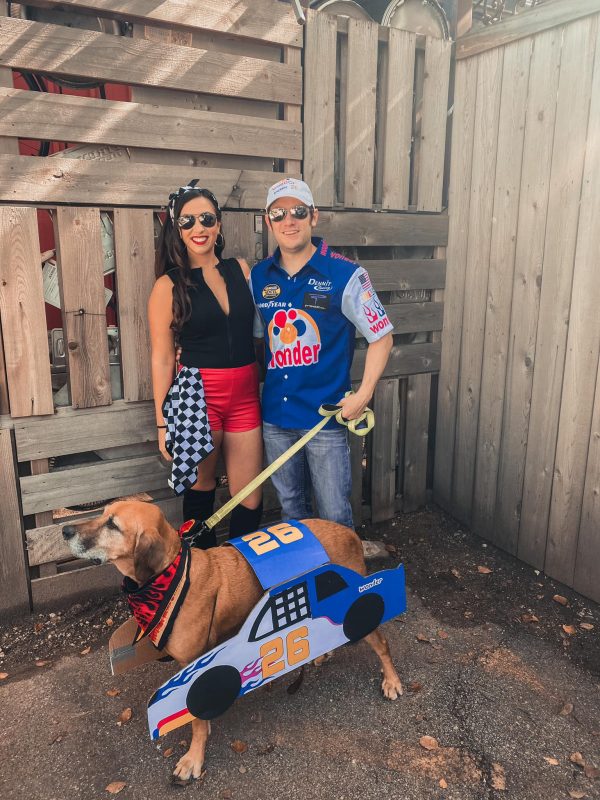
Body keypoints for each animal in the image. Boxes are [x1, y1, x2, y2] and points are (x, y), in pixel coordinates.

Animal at [63, 500, 404, 780]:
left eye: (113, 525)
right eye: (102, 513)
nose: (65, 530)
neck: (173, 577)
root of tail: (350, 534)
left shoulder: (194, 668)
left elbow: (195, 718)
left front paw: (193, 757)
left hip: (362, 612)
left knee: (382, 643)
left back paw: (391, 680)